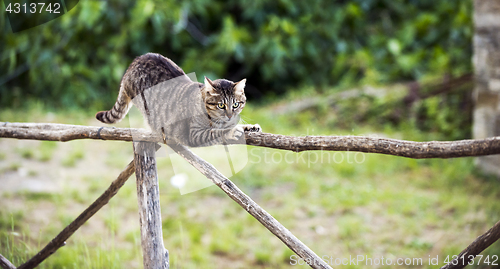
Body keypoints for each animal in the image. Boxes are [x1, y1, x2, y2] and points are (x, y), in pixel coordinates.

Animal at [96, 52, 262, 147]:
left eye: (236, 104)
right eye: (221, 105)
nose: (229, 115)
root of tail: (133, 64)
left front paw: (249, 127)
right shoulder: (194, 135)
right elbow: (216, 133)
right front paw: (231, 131)